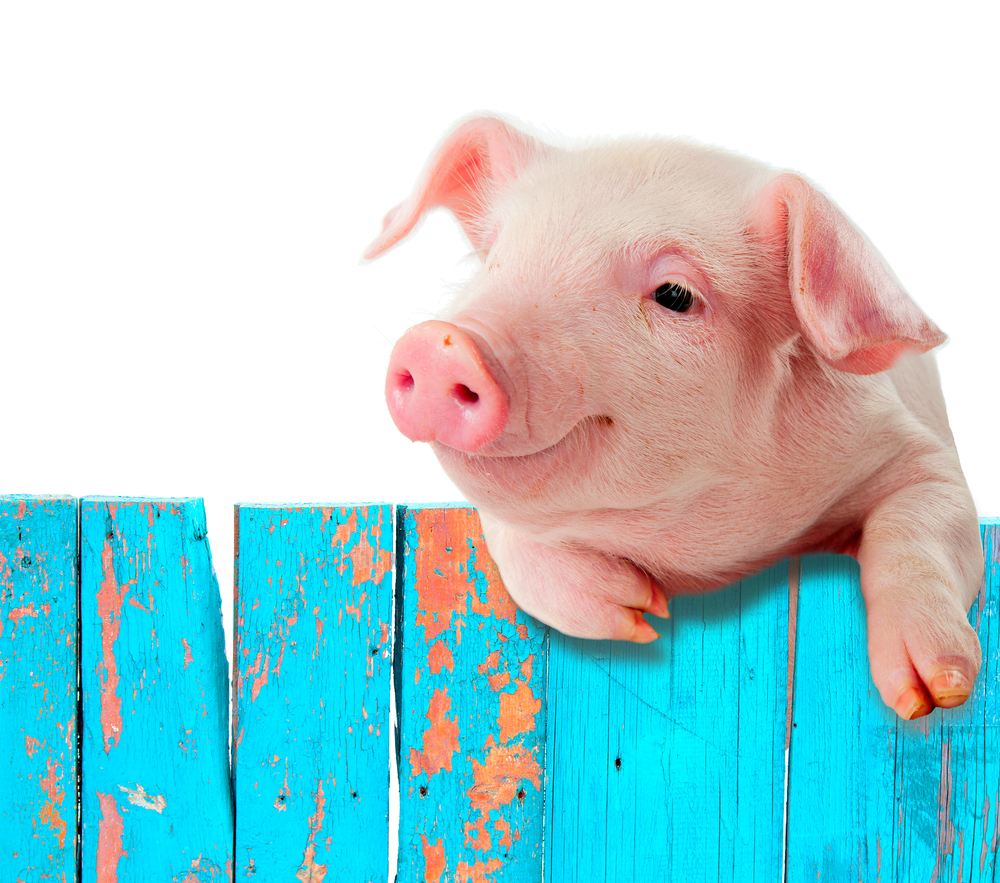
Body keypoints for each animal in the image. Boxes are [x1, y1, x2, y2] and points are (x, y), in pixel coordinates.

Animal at [364, 114, 980, 720]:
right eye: (493, 258)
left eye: (675, 294)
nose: (440, 344)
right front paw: (641, 614)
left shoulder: (915, 450)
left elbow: (920, 523)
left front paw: (935, 693)